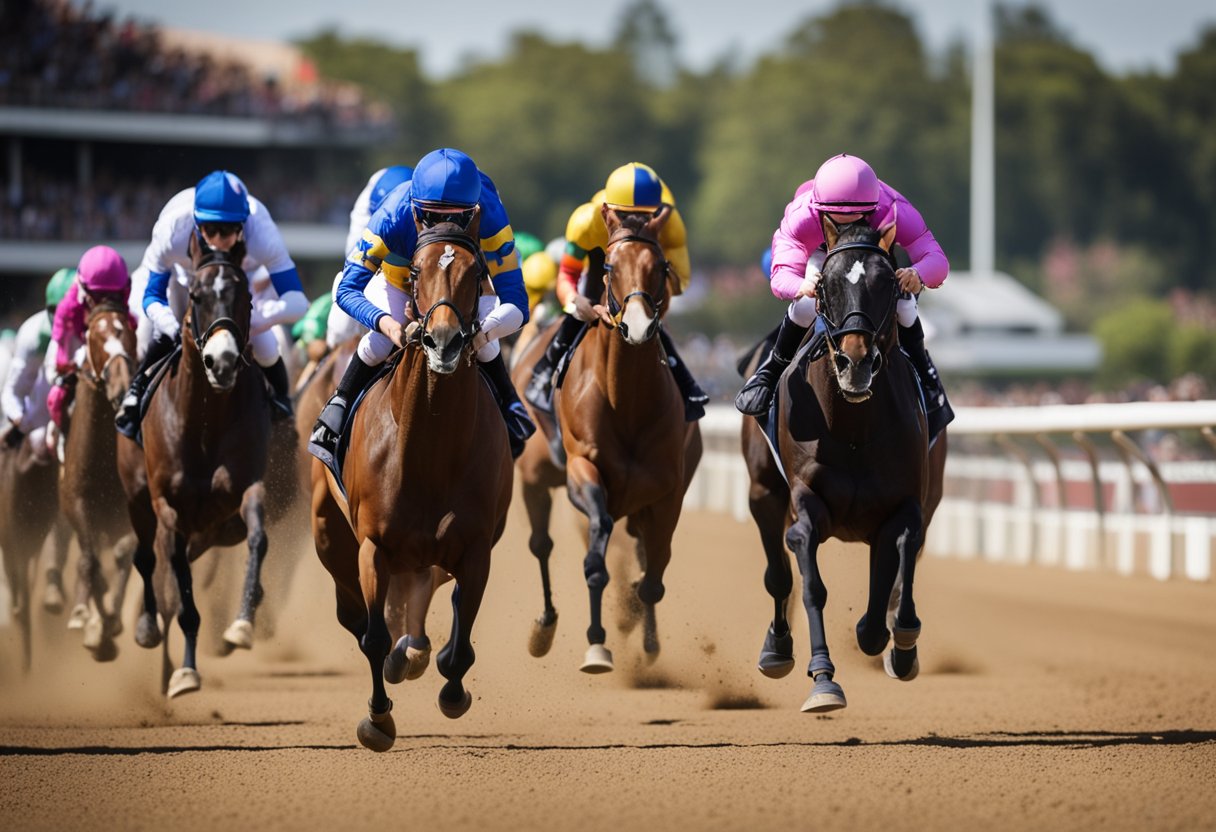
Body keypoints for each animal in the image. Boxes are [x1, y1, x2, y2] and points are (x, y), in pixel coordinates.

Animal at [124, 237, 271, 700]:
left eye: (246, 297)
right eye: (195, 296)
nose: (221, 362)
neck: (205, 421)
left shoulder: (246, 488)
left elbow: (259, 539)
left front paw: (242, 623)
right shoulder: (168, 506)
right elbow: (178, 586)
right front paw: (186, 672)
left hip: (213, 529)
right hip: (139, 500)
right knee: (147, 559)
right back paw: (149, 632)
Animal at [311, 217, 510, 749]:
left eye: (477, 271)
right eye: (417, 270)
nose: (443, 342)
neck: (430, 449)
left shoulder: (475, 549)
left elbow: (461, 638)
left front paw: (452, 690)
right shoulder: (373, 548)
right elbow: (374, 636)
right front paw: (378, 719)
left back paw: (416, 654)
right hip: (329, 534)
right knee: (355, 615)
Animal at [513, 208, 705, 676]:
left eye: (661, 267)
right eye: (609, 267)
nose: (637, 325)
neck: (626, 401)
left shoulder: (667, 493)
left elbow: (653, 575)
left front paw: (638, 624)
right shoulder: (583, 470)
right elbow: (596, 557)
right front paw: (597, 644)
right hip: (534, 478)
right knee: (541, 545)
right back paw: (545, 626)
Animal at [739, 217, 948, 710]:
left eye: (887, 283)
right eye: (827, 286)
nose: (855, 362)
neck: (855, 428)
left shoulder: (908, 502)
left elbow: (902, 556)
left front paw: (896, 640)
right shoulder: (806, 501)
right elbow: (808, 577)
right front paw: (823, 678)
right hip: (762, 492)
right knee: (779, 575)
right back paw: (777, 648)